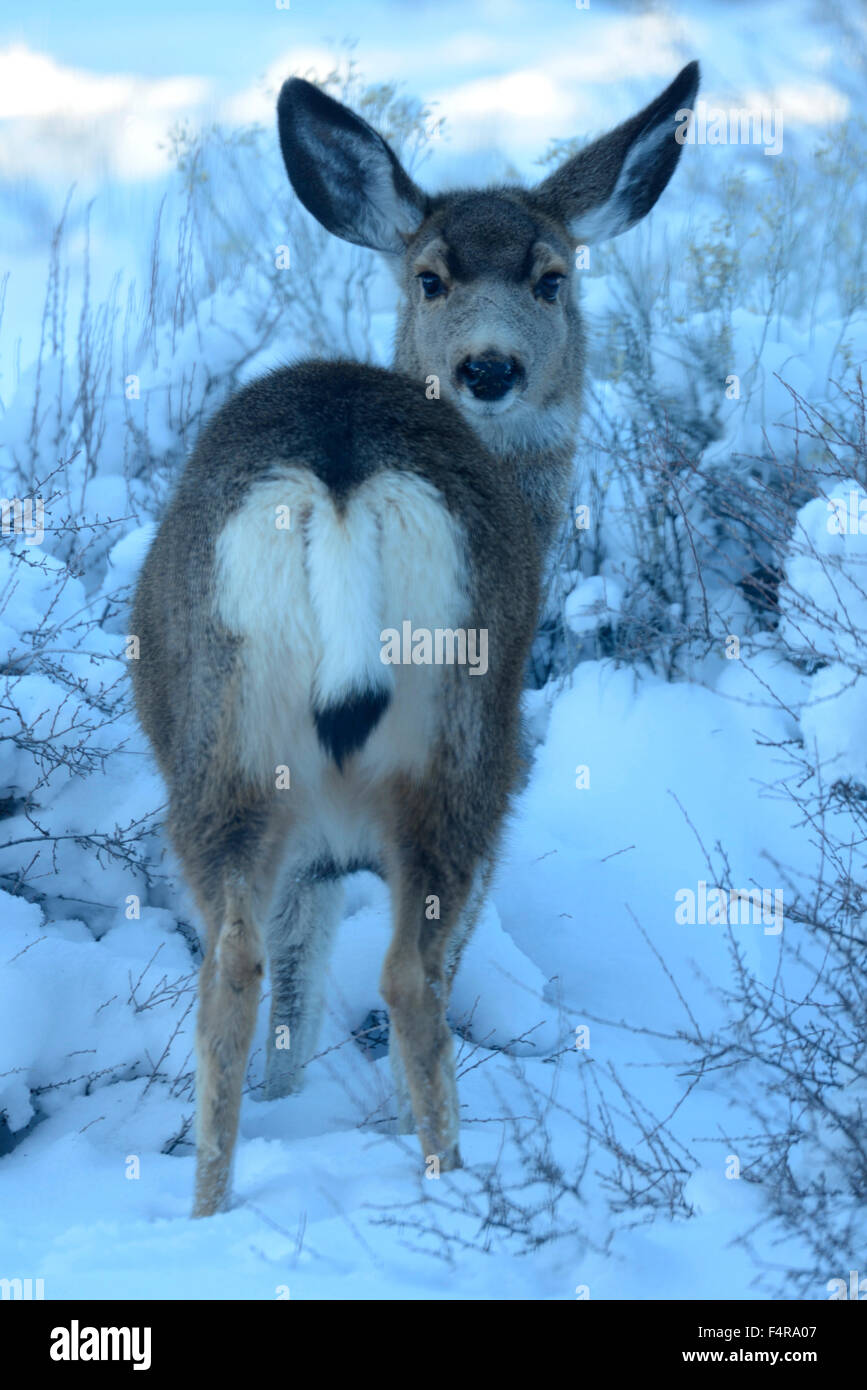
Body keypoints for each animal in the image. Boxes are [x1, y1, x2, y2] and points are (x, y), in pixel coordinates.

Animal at [131, 62, 700, 1217]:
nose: (489, 369)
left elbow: (297, 985)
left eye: (551, 278)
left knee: (232, 968)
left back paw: (208, 1209)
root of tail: (342, 476)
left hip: (222, 754)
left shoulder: (308, 852)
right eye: (430, 278)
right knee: (409, 972)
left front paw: (289, 1099)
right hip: (466, 744)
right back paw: (450, 1178)